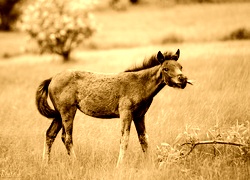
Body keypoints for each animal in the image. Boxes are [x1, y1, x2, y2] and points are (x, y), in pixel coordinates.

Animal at [35, 48, 192, 166]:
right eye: (165, 68)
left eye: (181, 67)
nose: (183, 79)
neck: (139, 84)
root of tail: (52, 78)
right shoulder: (126, 114)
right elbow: (125, 139)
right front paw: (119, 165)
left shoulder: (140, 116)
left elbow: (144, 139)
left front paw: (149, 163)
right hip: (67, 112)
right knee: (66, 138)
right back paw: (75, 163)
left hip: (58, 114)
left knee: (50, 134)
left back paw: (45, 163)